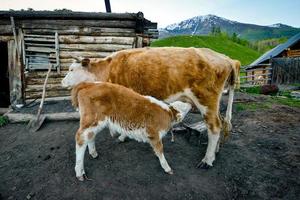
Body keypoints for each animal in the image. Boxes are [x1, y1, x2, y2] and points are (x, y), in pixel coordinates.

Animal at [61, 47, 241, 169]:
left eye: (71, 69)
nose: (62, 82)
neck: (108, 68)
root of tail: (225, 58)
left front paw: (122, 135)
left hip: (206, 100)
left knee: (214, 127)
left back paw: (207, 160)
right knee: (222, 122)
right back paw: (216, 151)